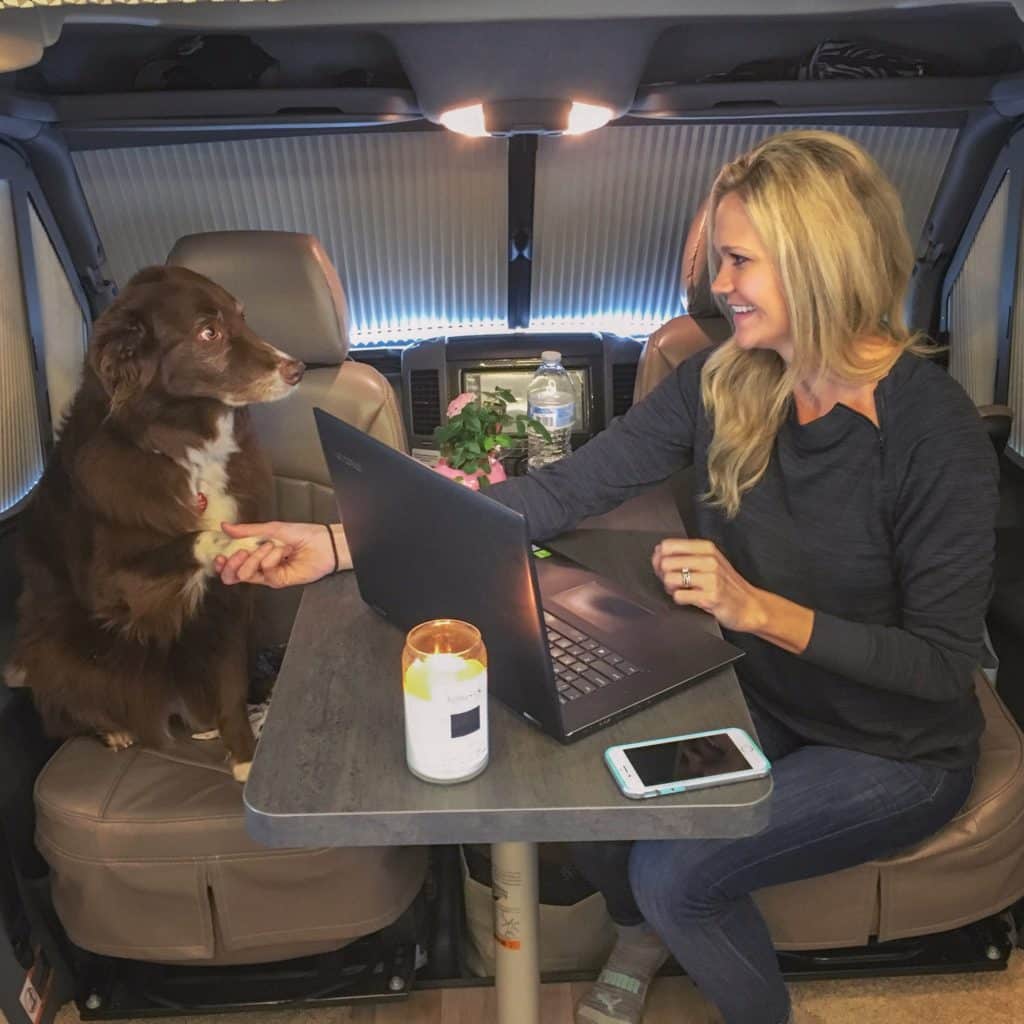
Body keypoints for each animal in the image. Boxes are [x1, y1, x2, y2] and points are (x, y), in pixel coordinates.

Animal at [4, 266, 303, 782]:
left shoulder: (225, 608)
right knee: (62, 707)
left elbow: (229, 683)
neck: (183, 447)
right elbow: (195, 537)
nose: (297, 369)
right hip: (64, 648)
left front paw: (244, 756)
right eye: (208, 332)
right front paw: (243, 544)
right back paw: (111, 730)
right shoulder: (110, 588)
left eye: (242, 317)